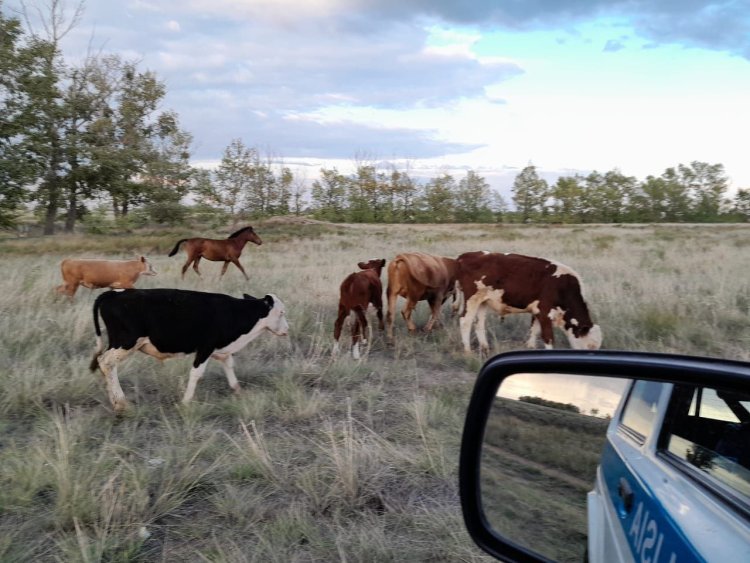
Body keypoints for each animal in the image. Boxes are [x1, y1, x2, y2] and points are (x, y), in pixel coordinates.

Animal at [89, 288, 288, 412]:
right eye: (281, 312)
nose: (287, 329)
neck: (233, 312)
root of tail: (113, 293)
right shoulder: (205, 347)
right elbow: (196, 374)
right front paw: (186, 402)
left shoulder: (220, 349)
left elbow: (229, 365)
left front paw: (238, 391)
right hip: (126, 342)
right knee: (106, 362)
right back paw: (121, 403)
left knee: (106, 365)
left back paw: (115, 401)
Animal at [452, 253, 604, 354]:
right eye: (590, 346)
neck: (563, 287)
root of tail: (465, 256)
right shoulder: (544, 312)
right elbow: (548, 337)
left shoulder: (537, 311)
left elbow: (534, 330)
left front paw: (530, 347)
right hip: (472, 299)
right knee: (465, 321)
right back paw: (467, 351)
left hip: (482, 301)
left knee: (479, 323)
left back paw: (485, 347)